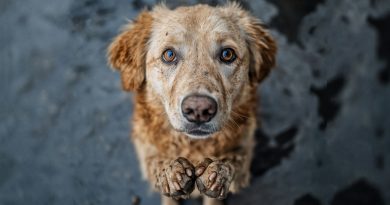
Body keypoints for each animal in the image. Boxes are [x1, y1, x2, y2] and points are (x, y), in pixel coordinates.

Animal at [107, 2, 278, 205]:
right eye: (169, 54)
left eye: (227, 54)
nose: (199, 109)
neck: (194, 147)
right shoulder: (146, 150)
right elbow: (157, 164)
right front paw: (170, 174)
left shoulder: (244, 151)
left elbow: (232, 163)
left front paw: (218, 173)